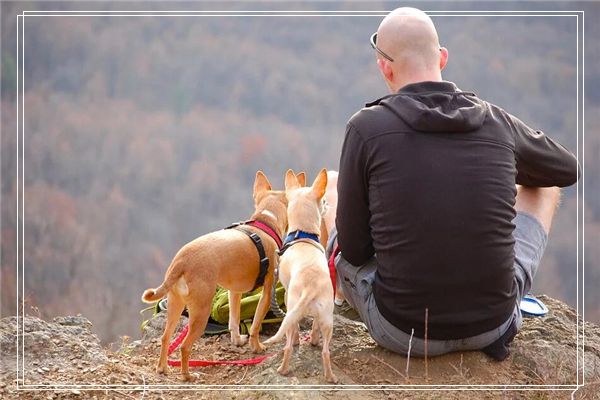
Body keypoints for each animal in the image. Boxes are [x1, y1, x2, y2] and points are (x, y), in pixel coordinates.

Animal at [143, 171, 288, 382]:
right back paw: (187, 376)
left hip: (175, 305)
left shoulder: (234, 291)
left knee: (165, 337)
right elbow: (255, 325)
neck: (264, 223)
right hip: (201, 312)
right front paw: (257, 347)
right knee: (185, 346)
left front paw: (237, 341)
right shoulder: (268, 291)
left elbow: (234, 320)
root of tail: (181, 261)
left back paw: (163, 368)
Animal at [266, 169, 340, 384]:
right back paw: (330, 376)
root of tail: (310, 287)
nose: (328, 205)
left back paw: (283, 370)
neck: (302, 235)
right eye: (324, 201)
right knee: (325, 351)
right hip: (327, 318)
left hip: (292, 310)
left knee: (288, 345)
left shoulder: (285, 293)